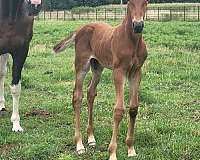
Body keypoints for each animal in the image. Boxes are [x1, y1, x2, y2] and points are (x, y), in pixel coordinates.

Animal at [54, 0, 148, 159]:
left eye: (146, 2)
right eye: (129, 2)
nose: (137, 25)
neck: (131, 41)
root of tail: (79, 29)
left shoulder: (136, 72)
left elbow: (133, 108)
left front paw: (131, 149)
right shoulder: (118, 71)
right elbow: (118, 110)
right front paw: (112, 153)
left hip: (97, 66)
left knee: (91, 92)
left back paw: (91, 138)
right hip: (81, 65)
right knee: (77, 96)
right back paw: (79, 144)